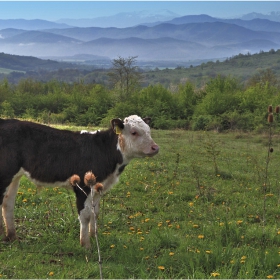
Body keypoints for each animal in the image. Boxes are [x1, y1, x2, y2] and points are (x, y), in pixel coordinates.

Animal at [0, 115, 159, 248]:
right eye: (134, 132)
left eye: (148, 131)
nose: (155, 147)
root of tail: (6, 121)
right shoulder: (82, 187)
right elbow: (86, 215)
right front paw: (86, 245)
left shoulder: (98, 188)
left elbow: (95, 212)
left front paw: (94, 236)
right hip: (5, 174)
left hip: (14, 176)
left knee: (8, 203)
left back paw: (12, 236)